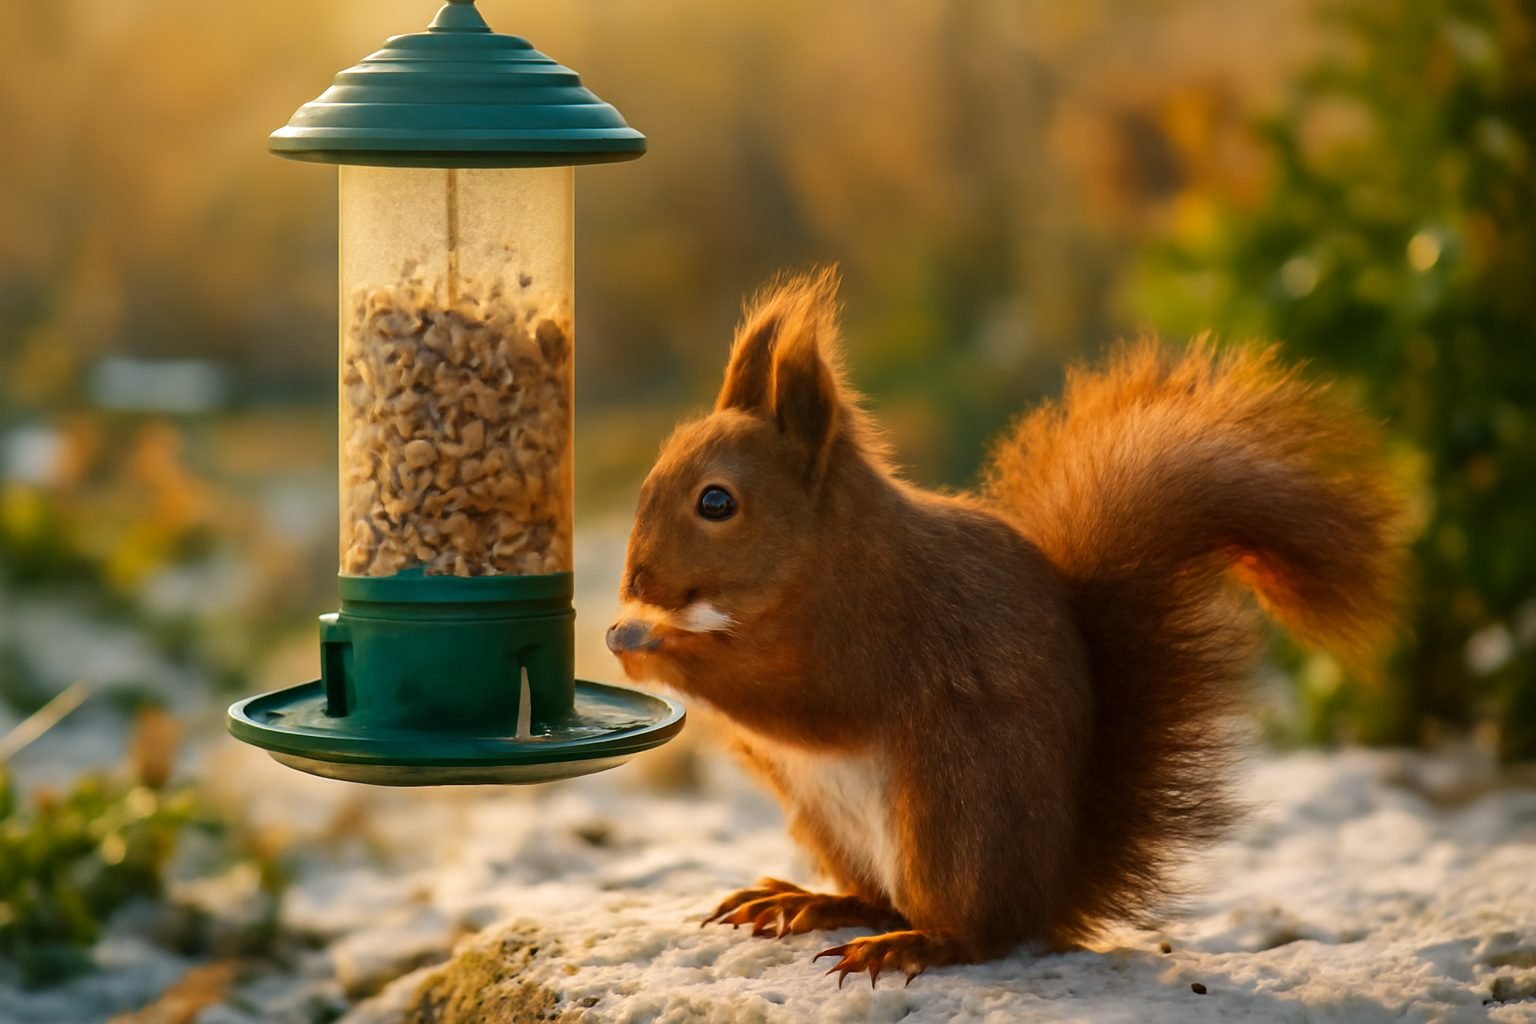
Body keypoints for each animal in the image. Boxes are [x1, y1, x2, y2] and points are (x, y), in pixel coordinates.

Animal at [605, 269, 1407, 986]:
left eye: (716, 502)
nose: (636, 584)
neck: (827, 557)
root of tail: (1048, 893)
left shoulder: (865, 637)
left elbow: (792, 695)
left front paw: (649, 643)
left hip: (952, 812)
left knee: (975, 932)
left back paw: (915, 945)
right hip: (830, 819)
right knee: (877, 897)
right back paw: (807, 902)